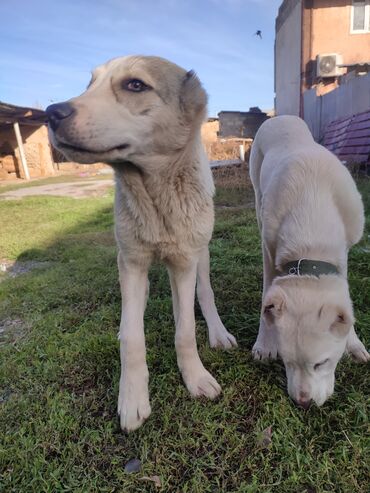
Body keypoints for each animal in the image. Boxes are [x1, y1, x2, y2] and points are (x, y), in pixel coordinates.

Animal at [47, 55, 237, 428]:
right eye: (89, 84)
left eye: (135, 85)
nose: (50, 112)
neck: (154, 197)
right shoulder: (132, 261)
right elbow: (133, 336)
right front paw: (133, 397)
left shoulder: (184, 263)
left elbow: (185, 330)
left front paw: (195, 377)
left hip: (201, 253)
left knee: (204, 293)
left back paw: (218, 331)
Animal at [250, 115, 368, 408]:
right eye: (286, 361)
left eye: (321, 363)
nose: (303, 403)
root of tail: (279, 117)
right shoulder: (269, 250)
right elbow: (266, 295)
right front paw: (264, 342)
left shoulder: (343, 253)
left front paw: (353, 344)